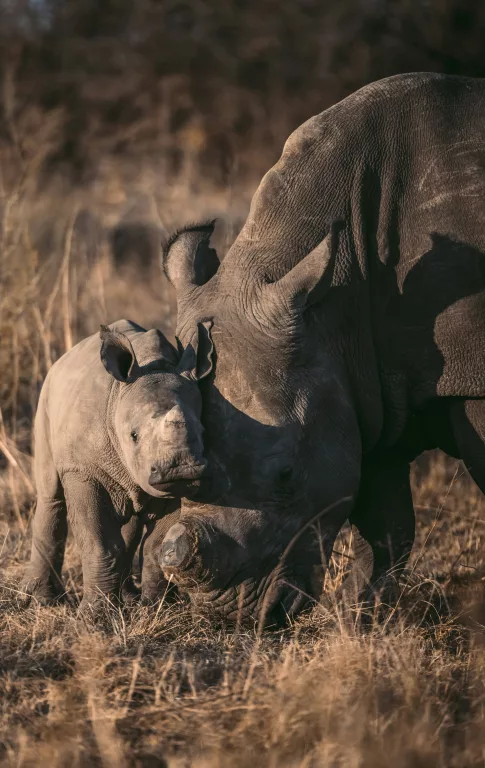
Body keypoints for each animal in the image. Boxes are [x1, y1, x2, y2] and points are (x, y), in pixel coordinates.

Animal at [21, 319, 211, 611]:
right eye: (133, 436)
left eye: (202, 432)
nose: (181, 469)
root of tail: (61, 361)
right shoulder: (83, 471)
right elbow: (97, 542)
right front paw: (95, 614)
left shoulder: (171, 487)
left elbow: (156, 546)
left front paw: (156, 609)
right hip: (46, 396)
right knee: (50, 495)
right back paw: (42, 602)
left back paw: (128, 599)